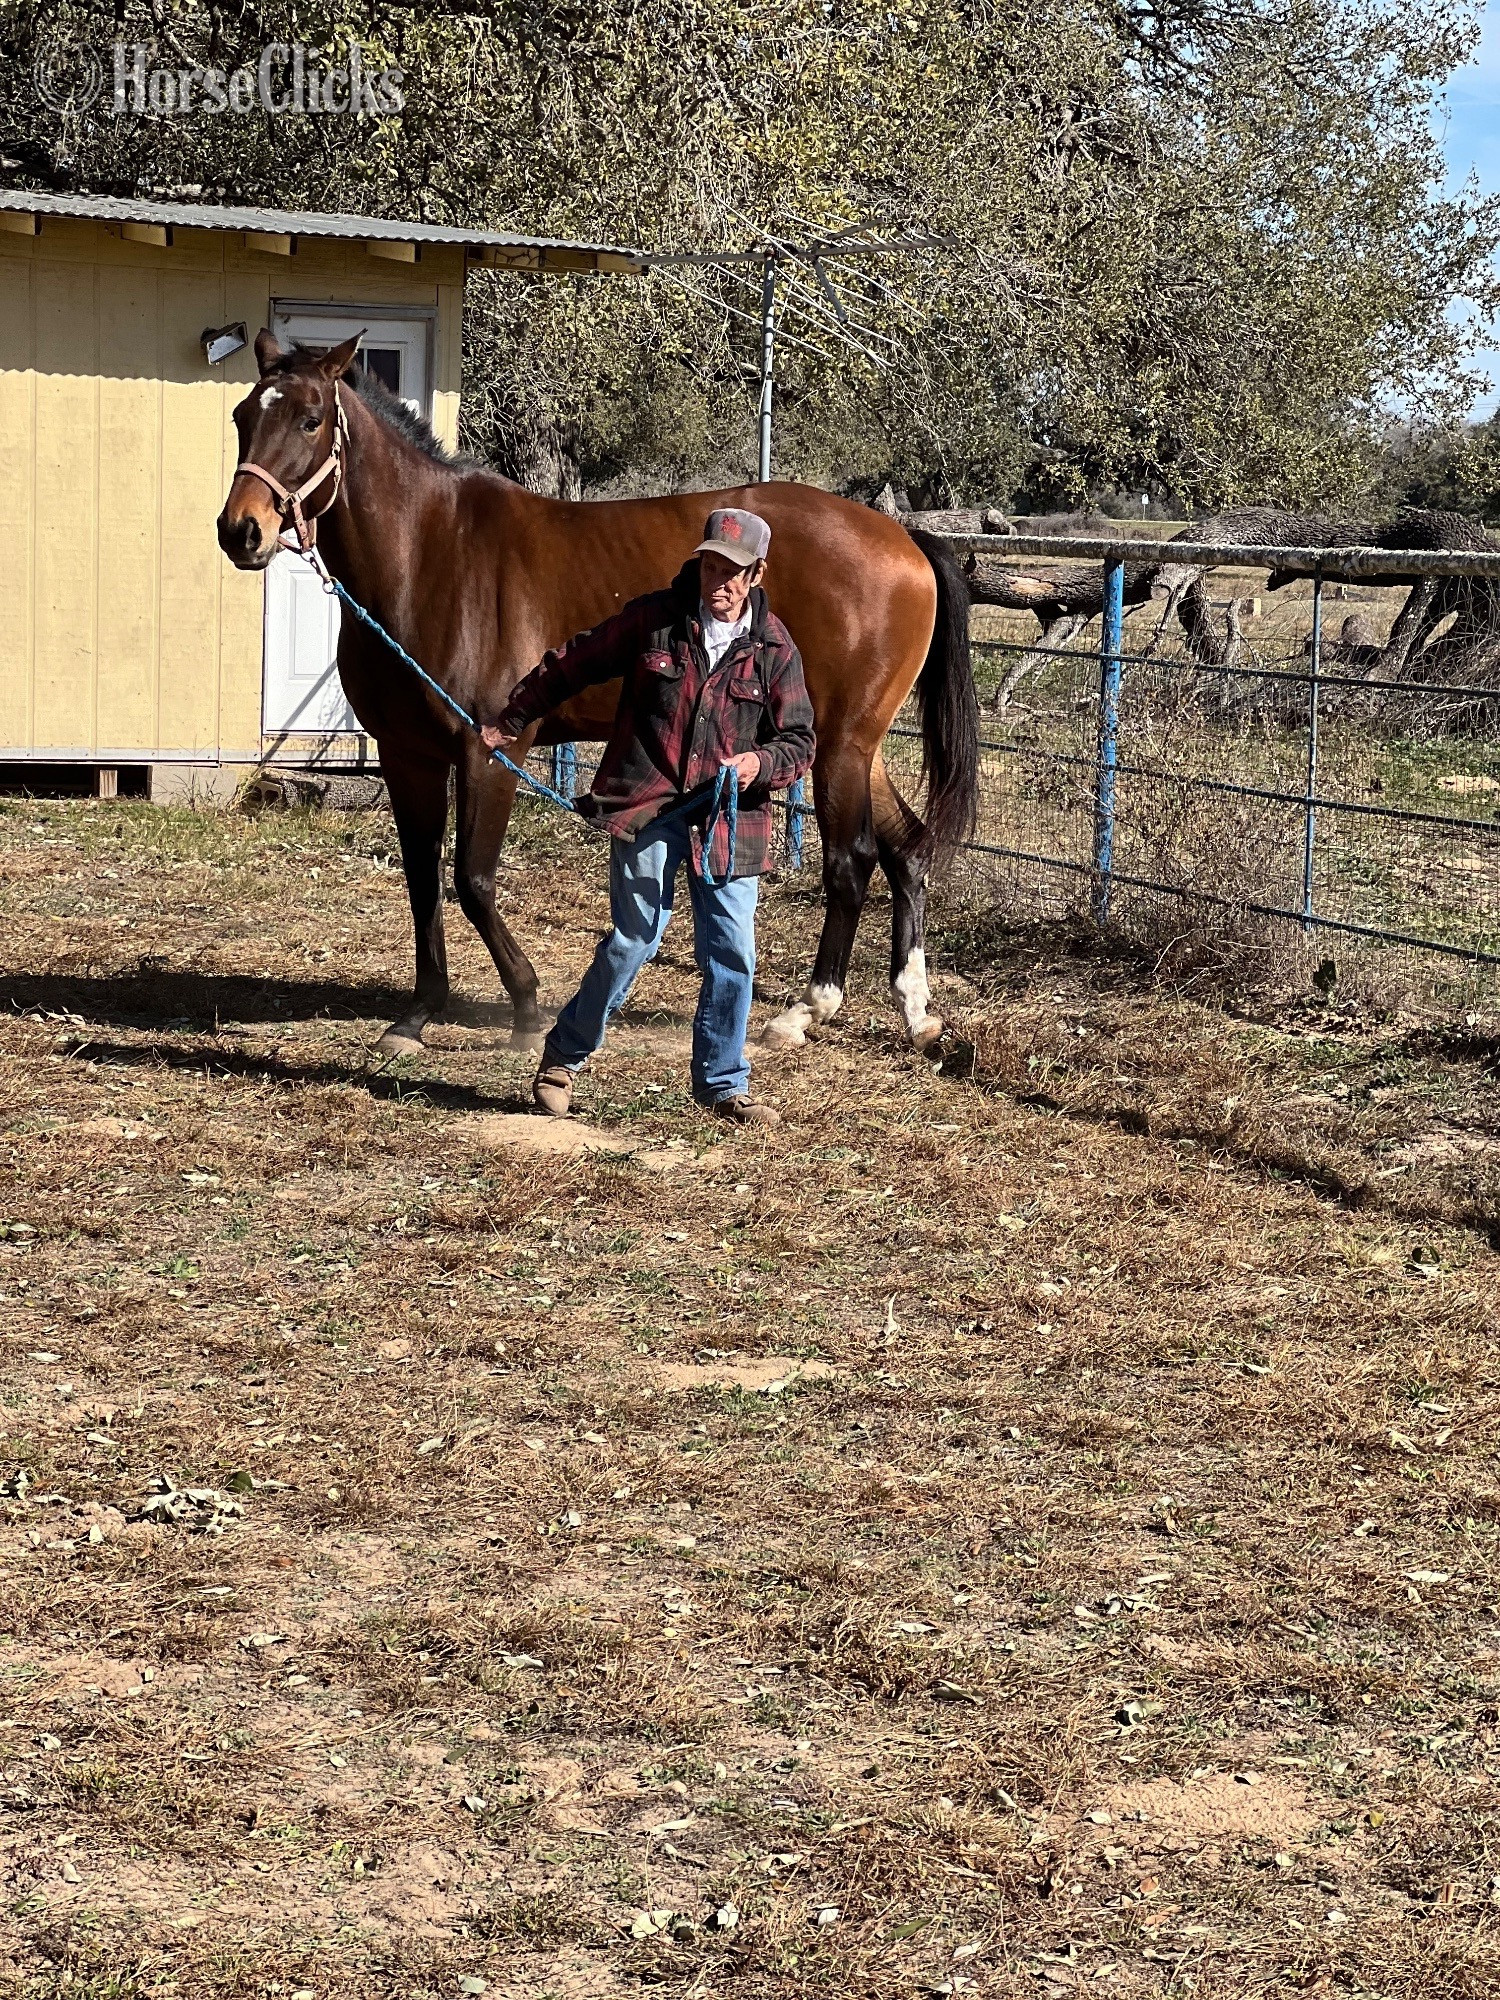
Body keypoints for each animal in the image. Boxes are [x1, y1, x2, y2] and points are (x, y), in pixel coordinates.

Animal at [217, 332, 979, 1059]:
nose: (240, 530)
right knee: (906, 848)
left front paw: (526, 1009)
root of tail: (903, 538)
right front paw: (418, 1016)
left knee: (852, 863)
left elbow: (473, 880)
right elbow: (423, 882)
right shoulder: (409, 757)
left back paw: (805, 1012)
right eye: (242, 416)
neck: (432, 554)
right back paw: (916, 1012)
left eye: (311, 419)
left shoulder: (491, 750)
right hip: (853, 746)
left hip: (840, 745)